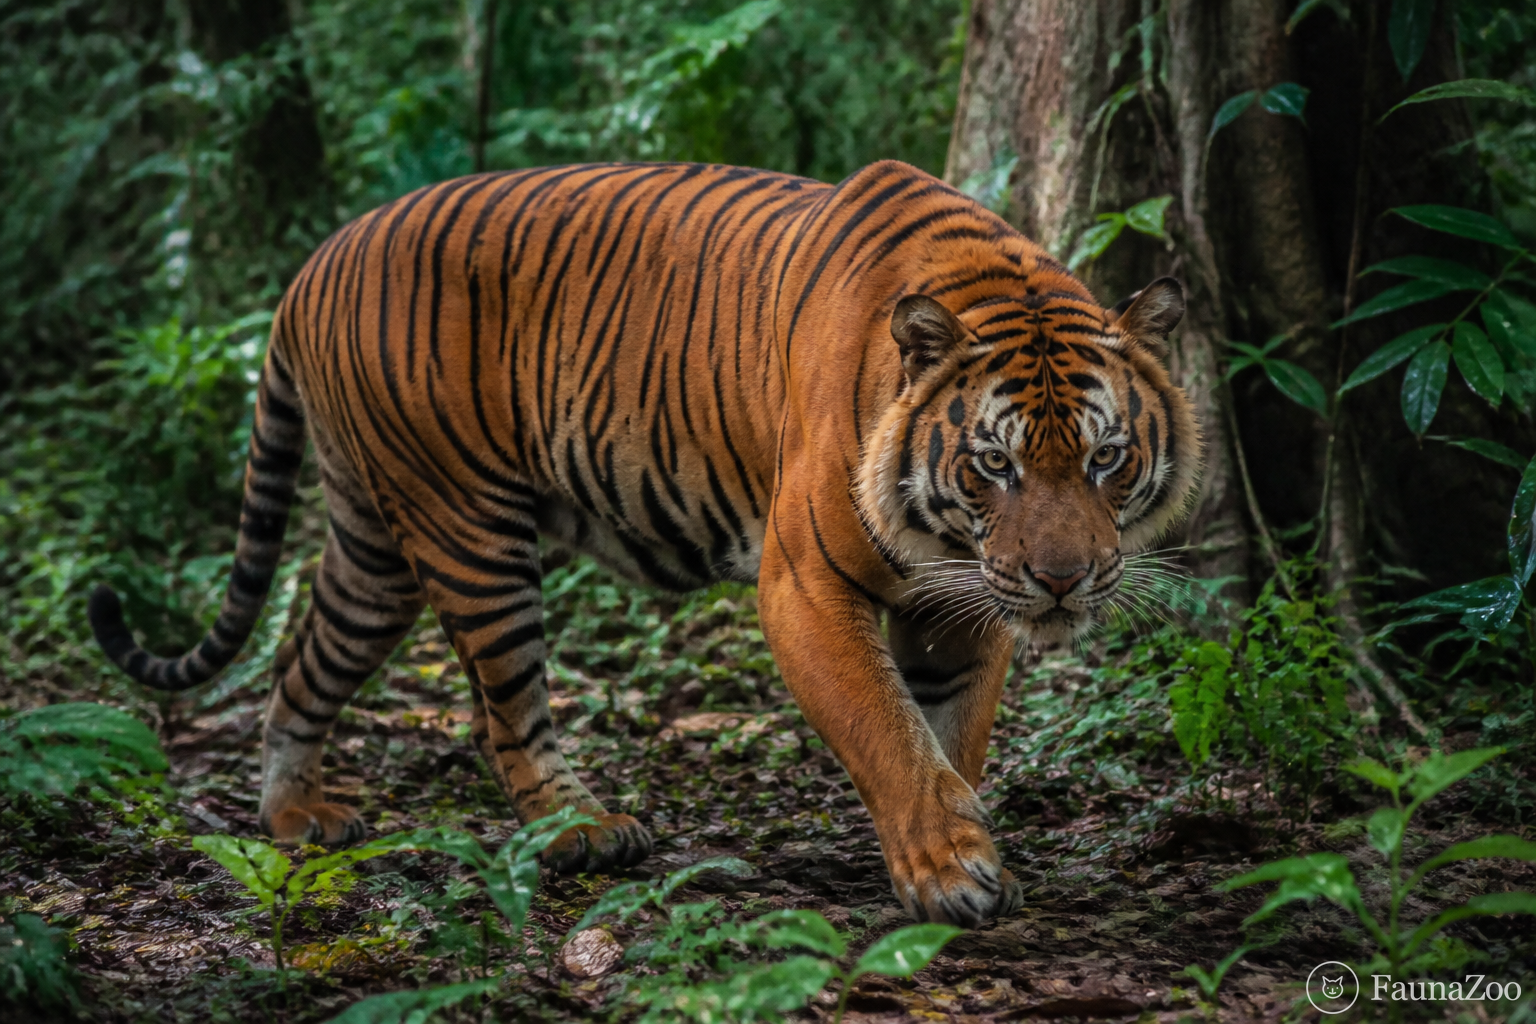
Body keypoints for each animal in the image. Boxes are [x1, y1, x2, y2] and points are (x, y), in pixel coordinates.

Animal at [90, 160, 1200, 927]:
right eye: (994, 463)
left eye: (1105, 457)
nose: (1060, 583)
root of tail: (315, 258)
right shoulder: (805, 584)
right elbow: (889, 731)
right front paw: (949, 873)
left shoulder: (960, 606)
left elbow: (946, 738)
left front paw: (959, 845)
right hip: (467, 527)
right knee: (504, 714)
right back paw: (585, 831)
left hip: (373, 546)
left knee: (298, 662)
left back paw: (293, 820)